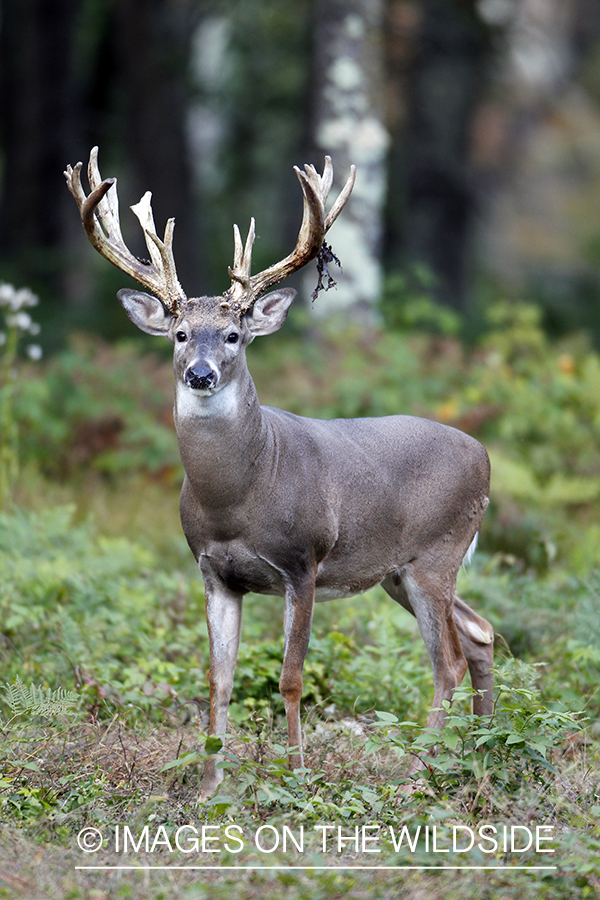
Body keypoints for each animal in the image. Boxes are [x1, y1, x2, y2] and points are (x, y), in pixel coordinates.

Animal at [65, 148, 494, 800]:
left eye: (234, 335)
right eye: (180, 333)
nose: (200, 373)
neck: (237, 496)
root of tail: (486, 457)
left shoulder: (302, 561)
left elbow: (291, 678)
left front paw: (295, 778)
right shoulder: (214, 571)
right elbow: (217, 679)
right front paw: (209, 785)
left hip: (437, 552)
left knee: (447, 658)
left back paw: (418, 774)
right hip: (398, 571)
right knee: (480, 632)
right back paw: (482, 755)